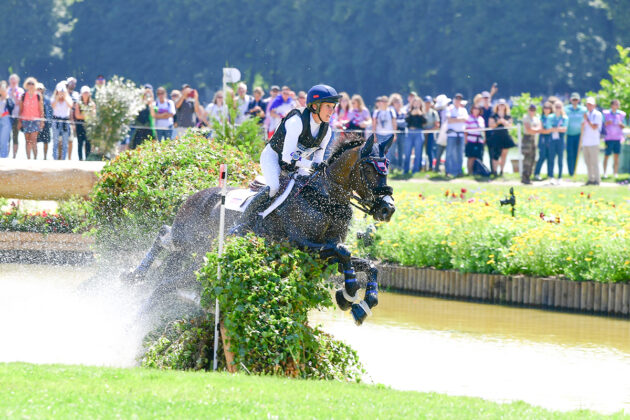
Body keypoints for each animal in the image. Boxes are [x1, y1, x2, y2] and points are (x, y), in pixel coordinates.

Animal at [128, 134, 396, 324]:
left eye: (387, 167)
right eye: (369, 168)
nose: (388, 209)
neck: (325, 199)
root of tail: (195, 196)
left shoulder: (323, 256)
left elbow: (366, 264)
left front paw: (362, 302)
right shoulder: (301, 244)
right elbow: (344, 251)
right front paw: (349, 290)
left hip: (193, 249)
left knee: (167, 271)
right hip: (186, 239)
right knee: (164, 235)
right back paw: (134, 274)